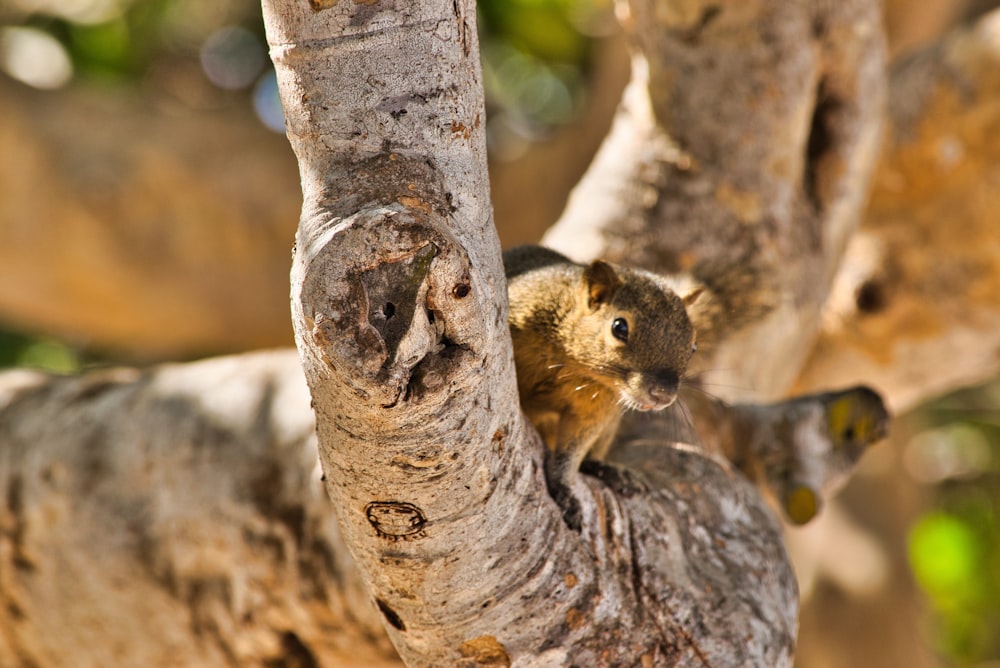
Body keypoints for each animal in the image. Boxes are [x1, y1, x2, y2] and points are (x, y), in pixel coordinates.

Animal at [500, 244, 704, 528]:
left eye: (693, 346)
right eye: (619, 327)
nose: (663, 394)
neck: (575, 366)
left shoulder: (597, 410)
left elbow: (571, 451)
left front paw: (563, 487)